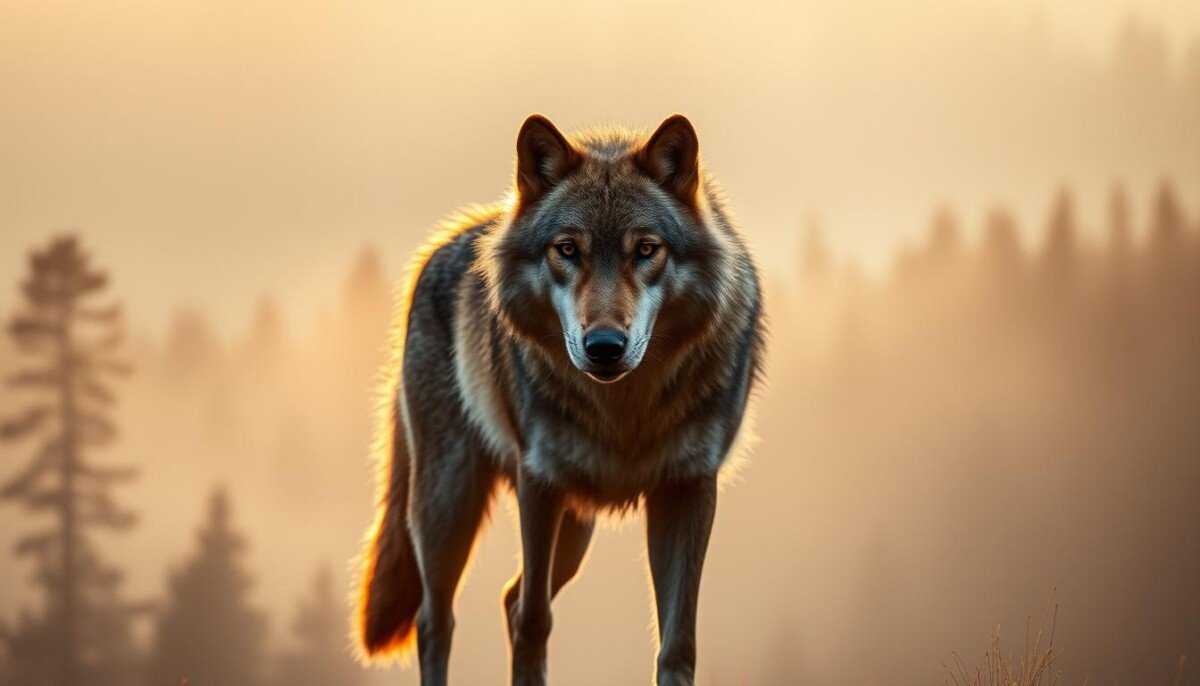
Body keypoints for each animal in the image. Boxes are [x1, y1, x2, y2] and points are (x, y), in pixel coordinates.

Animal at [355, 114, 764, 686]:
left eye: (646, 249)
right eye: (568, 250)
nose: (605, 346)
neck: (623, 411)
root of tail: (445, 245)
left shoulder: (689, 486)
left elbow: (678, 644)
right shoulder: (539, 483)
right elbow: (534, 623)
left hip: (574, 531)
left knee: (508, 598)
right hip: (447, 505)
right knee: (438, 619)